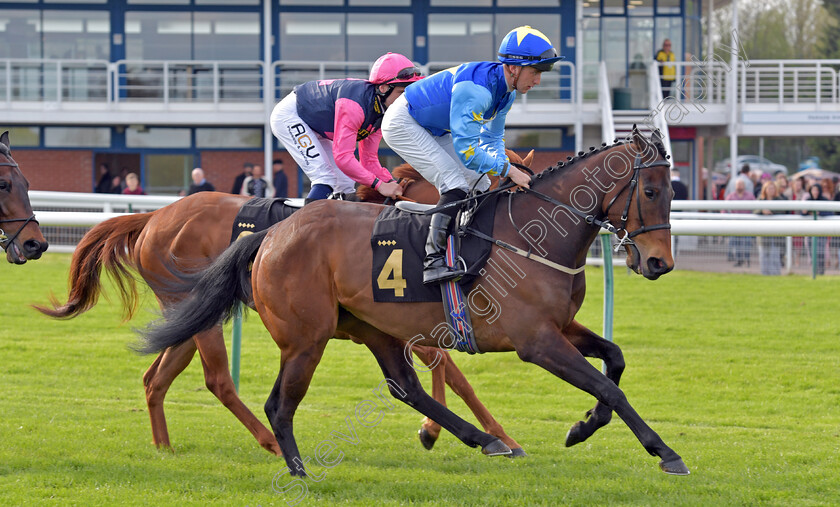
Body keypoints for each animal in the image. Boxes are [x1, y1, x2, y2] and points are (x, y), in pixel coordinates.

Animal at [36, 151, 536, 456]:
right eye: (508, 187)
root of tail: (156, 215)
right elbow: (446, 366)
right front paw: (449, 433)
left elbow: (451, 372)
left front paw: (498, 436)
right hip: (202, 315)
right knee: (218, 380)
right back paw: (271, 442)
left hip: (189, 315)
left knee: (155, 377)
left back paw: (164, 445)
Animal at [138, 128, 688, 476]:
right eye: (652, 191)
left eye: (672, 192)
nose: (659, 262)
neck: (530, 234)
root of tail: (271, 235)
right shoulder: (534, 341)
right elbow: (607, 386)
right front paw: (664, 451)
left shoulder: (559, 327)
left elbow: (614, 360)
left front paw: (582, 427)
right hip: (304, 338)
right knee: (270, 399)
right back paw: (294, 466)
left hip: (371, 329)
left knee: (403, 386)